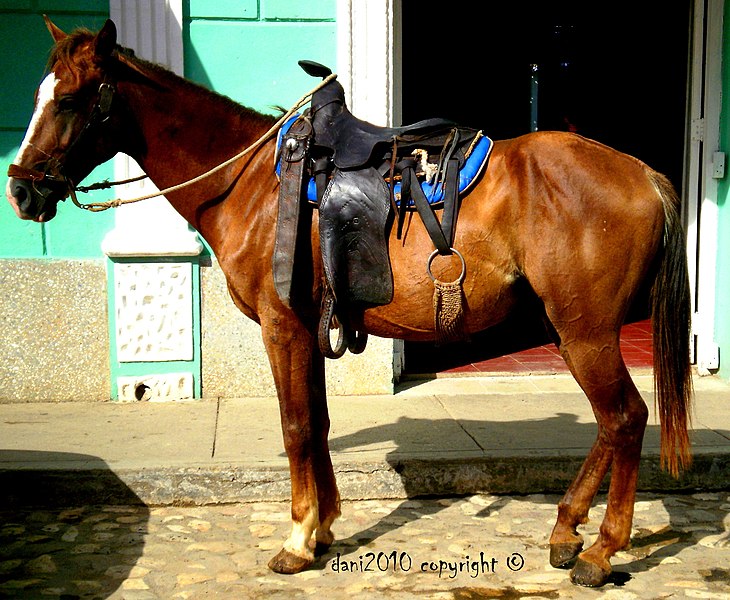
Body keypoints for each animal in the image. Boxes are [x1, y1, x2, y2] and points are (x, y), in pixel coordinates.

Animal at [4, 18, 688, 584]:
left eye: (70, 99)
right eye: (36, 95)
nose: (22, 191)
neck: (251, 186)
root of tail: (642, 173)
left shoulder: (281, 326)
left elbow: (296, 426)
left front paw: (298, 537)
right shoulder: (311, 328)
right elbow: (320, 421)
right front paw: (325, 525)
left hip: (586, 330)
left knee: (626, 418)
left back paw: (601, 550)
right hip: (566, 328)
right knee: (609, 422)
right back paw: (566, 529)